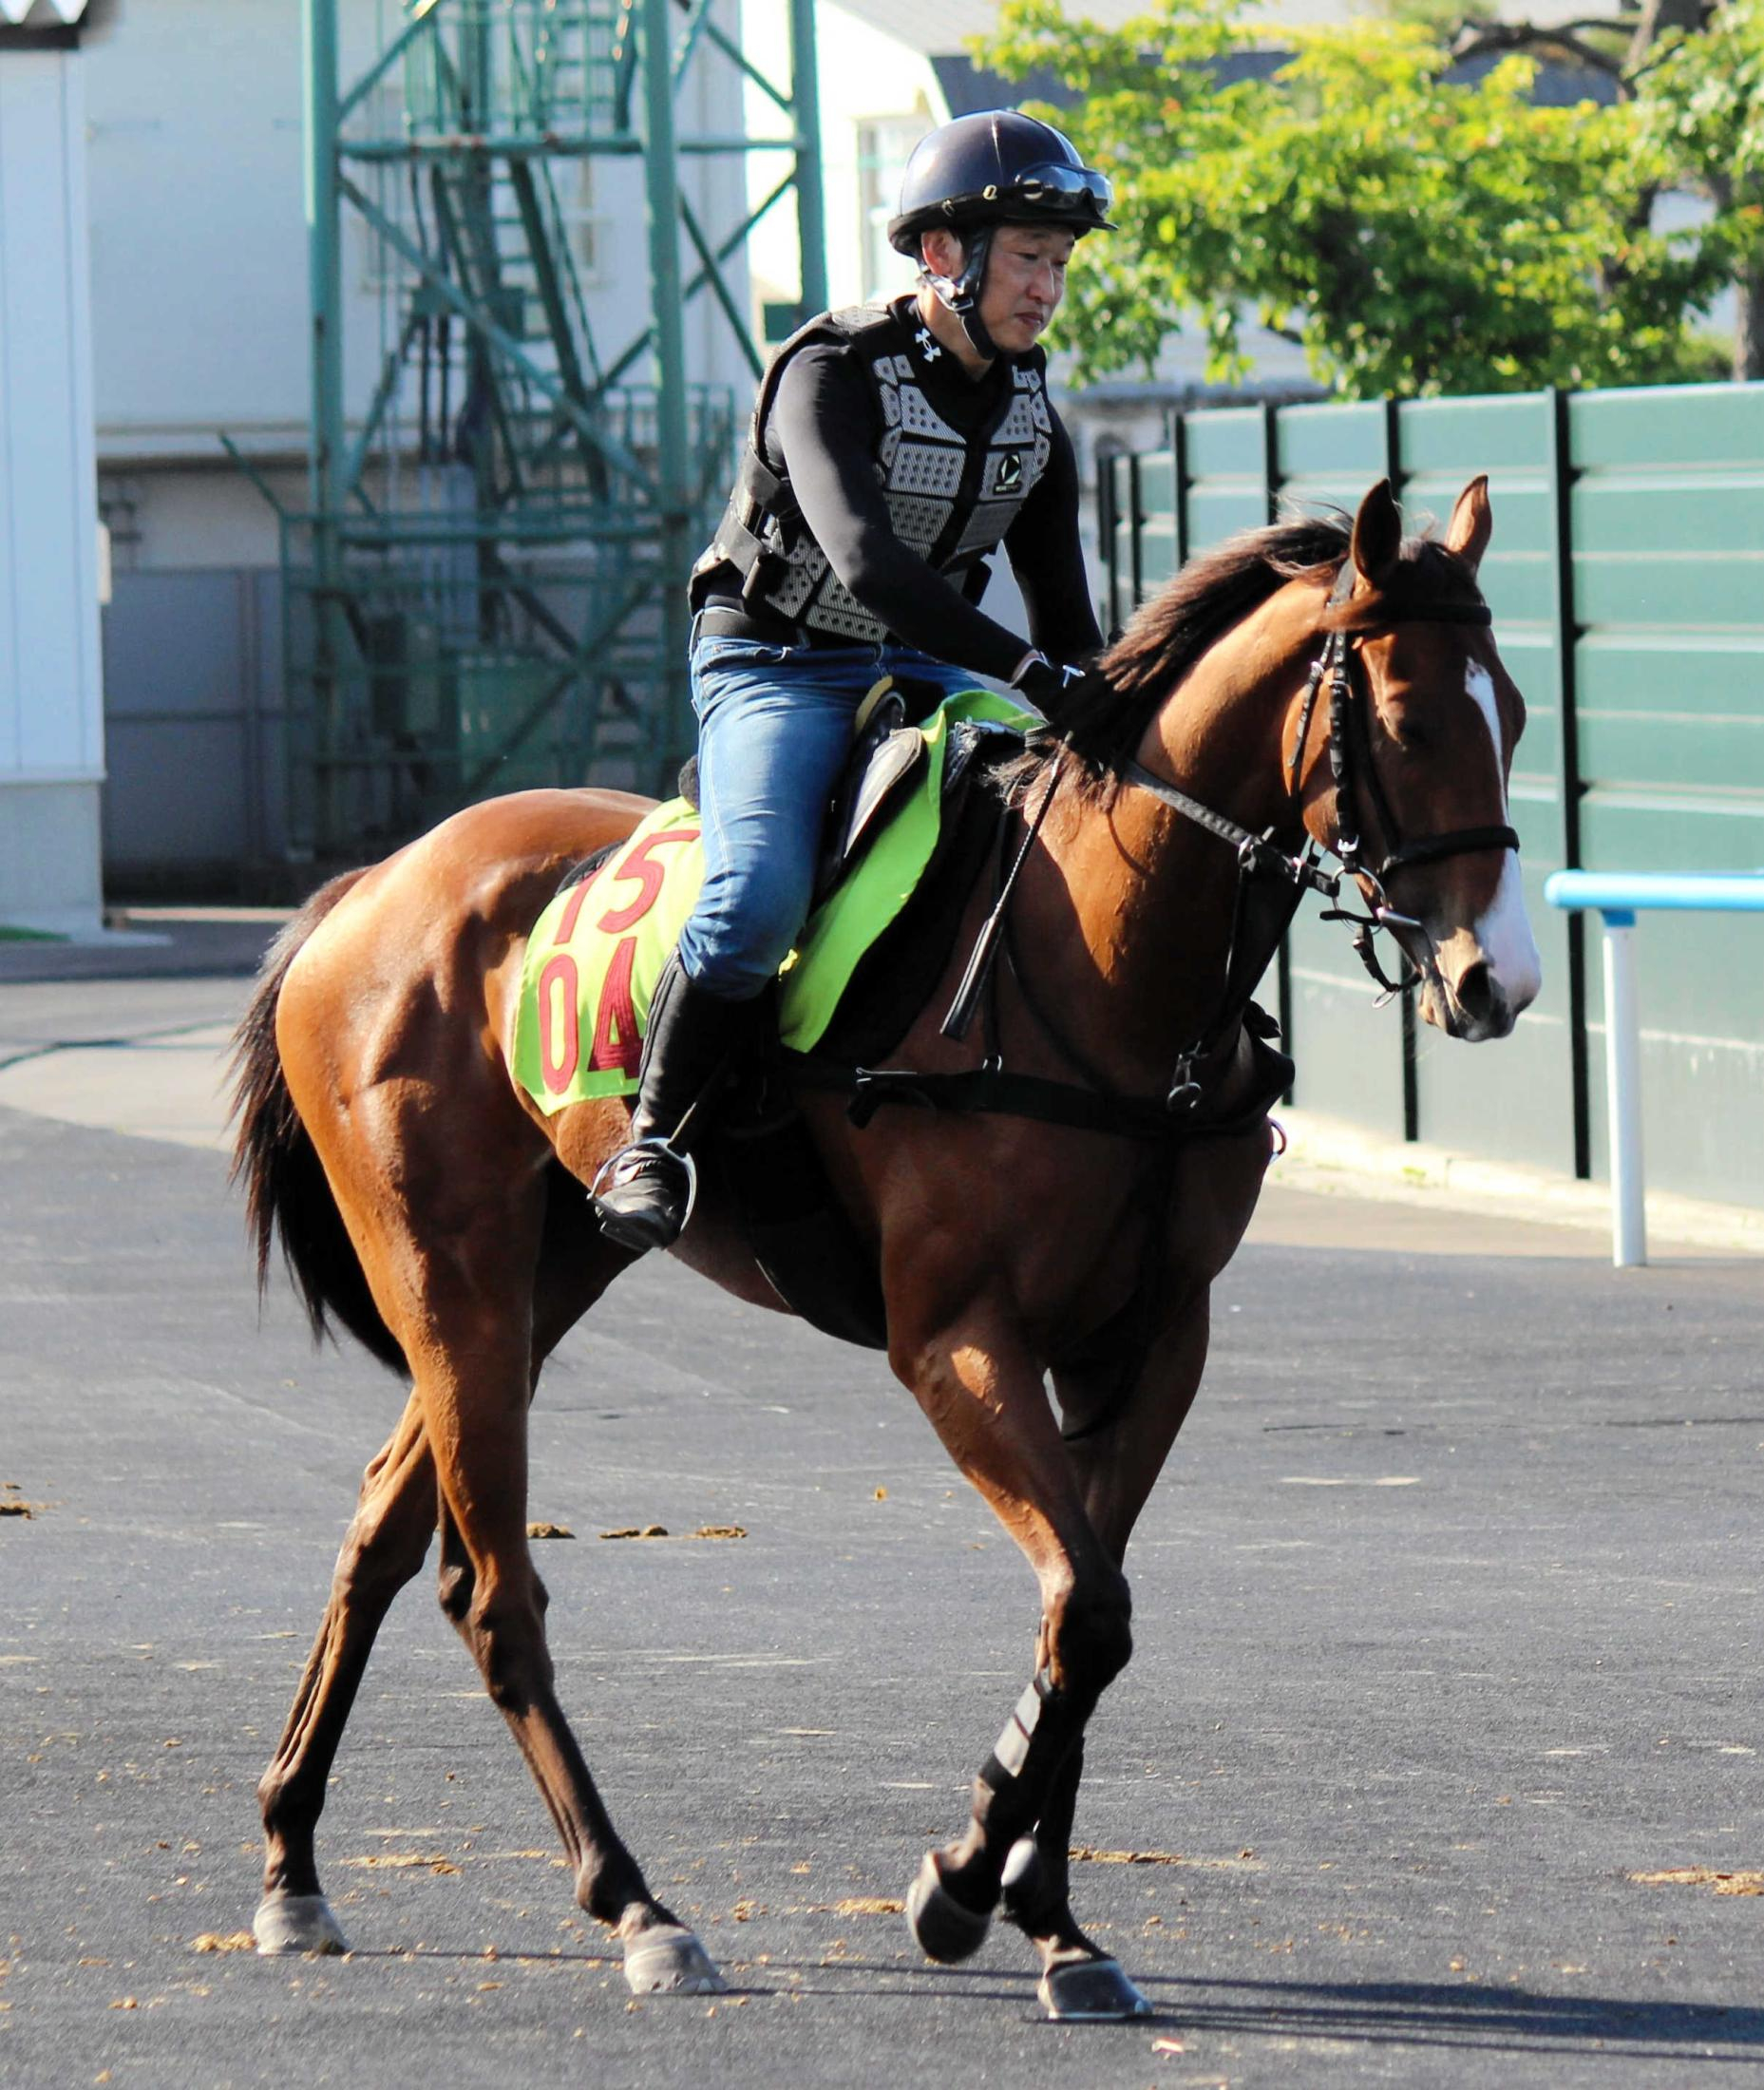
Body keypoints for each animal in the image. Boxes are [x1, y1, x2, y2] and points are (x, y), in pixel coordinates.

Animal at [229, 478, 1540, 2019]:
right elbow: (1088, 1609)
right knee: (491, 1591)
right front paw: (963, 1886)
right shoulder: (956, 1339)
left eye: (1516, 712)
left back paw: (292, 1862)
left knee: (382, 1530)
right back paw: (636, 1904)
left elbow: (1082, 1614)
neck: (1100, 966)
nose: (1496, 980)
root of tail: (370, 885)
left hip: (545, 1273)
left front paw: (1050, 1919)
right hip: (452, 1276)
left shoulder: (1151, 1342)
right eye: (1405, 720)